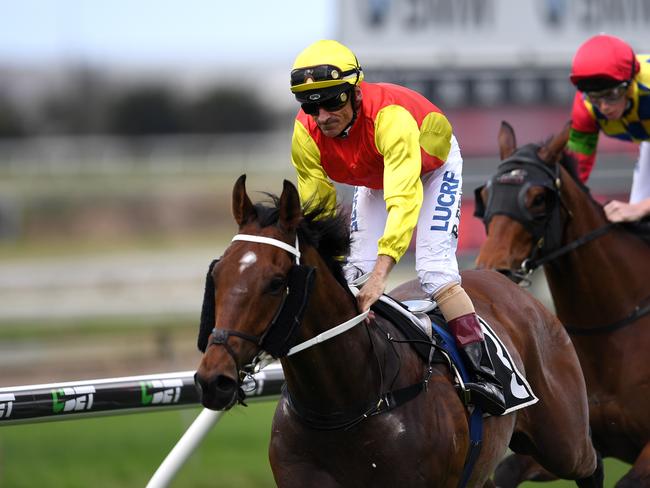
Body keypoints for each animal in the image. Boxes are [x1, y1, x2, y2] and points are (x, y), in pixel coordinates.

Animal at [194, 173, 604, 486]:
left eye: (276, 282)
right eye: (217, 274)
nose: (214, 380)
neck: (348, 404)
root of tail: (505, 282)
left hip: (563, 441)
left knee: (591, 462)